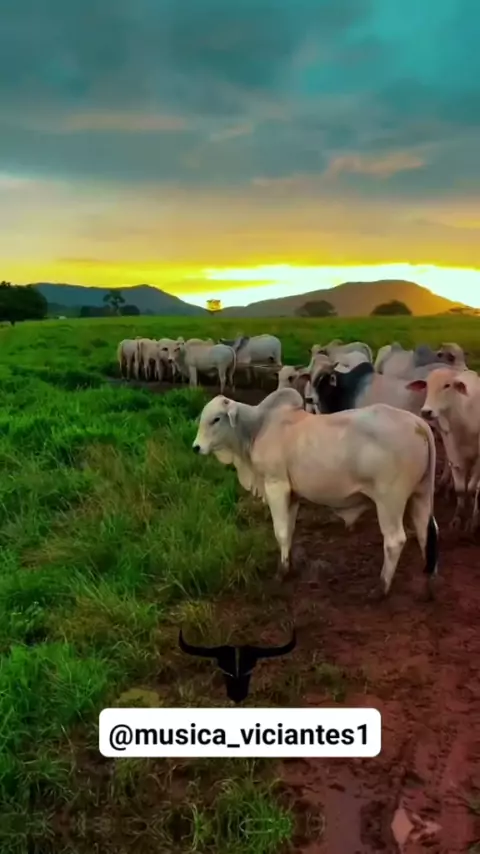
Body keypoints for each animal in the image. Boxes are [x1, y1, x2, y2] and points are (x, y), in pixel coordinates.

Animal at [192, 389, 439, 596]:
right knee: (427, 532)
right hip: (421, 494)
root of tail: (418, 423)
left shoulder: (276, 485)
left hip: (389, 501)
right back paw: (427, 583)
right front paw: (288, 565)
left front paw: (281, 573)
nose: (196, 447)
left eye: (216, 419)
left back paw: (382, 587)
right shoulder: (292, 495)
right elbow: (289, 531)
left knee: (394, 540)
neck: (258, 427)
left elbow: (280, 531)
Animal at [406, 367, 480, 532]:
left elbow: (473, 488)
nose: (426, 412)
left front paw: (473, 521)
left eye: (447, 385)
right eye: (427, 385)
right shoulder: (454, 454)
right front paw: (457, 518)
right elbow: (461, 489)